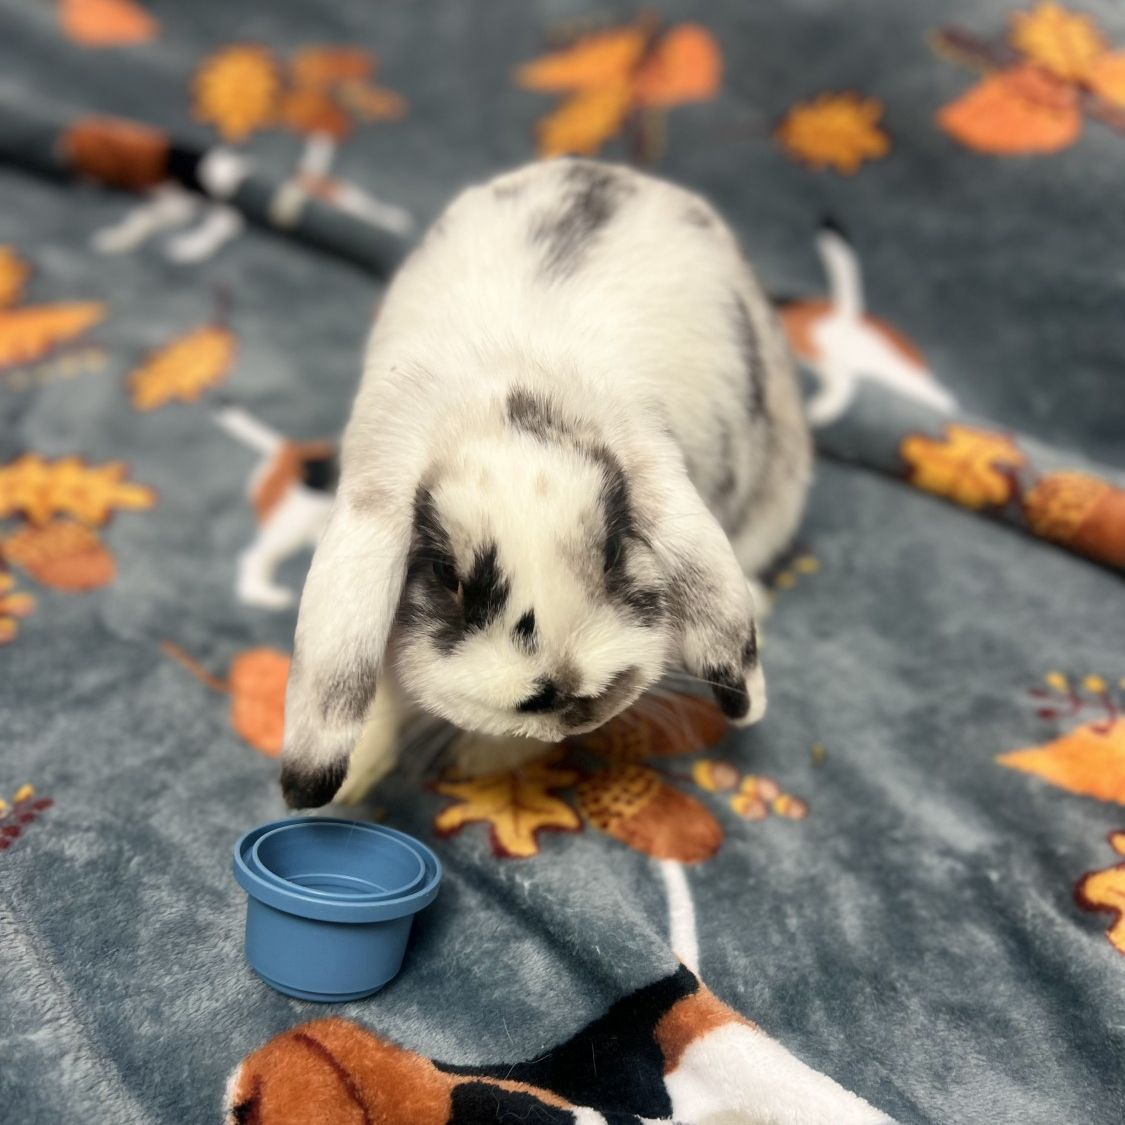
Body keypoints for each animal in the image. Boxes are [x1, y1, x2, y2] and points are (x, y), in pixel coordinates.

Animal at [281, 158, 812, 809]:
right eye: (446, 574)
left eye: (615, 550)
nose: (571, 695)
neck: (501, 391)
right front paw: (354, 780)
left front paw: (482, 759)